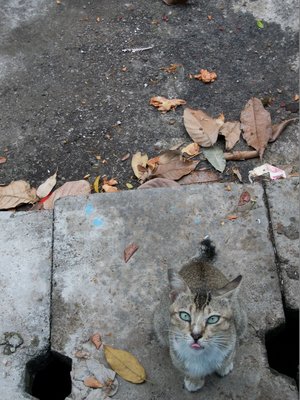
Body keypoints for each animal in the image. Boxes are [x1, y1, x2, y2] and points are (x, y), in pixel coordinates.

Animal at [154, 238, 247, 390]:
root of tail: (199, 262)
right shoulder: (176, 354)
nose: (196, 335)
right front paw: (194, 381)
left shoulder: (232, 340)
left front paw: (224, 366)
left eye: (213, 319)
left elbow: (229, 355)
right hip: (159, 324)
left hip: (242, 318)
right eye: (185, 316)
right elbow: (188, 370)